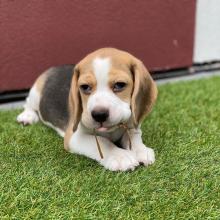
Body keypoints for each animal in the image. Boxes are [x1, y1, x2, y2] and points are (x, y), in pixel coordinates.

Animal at [17, 47, 158, 172]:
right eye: (85, 87)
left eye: (119, 85)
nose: (99, 114)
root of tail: (54, 67)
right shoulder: (73, 137)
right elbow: (102, 142)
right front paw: (119, 156)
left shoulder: (131, 125)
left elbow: (134, 137)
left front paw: (141, 150)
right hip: (35, 94)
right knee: (28, 104)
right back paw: (27, 117)